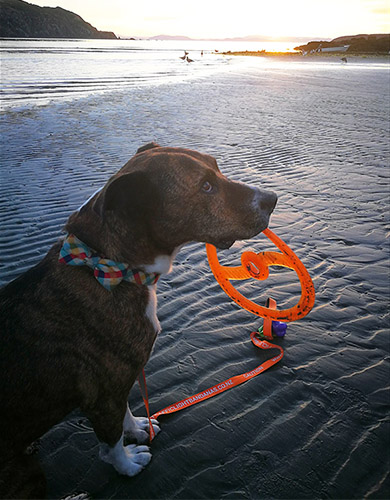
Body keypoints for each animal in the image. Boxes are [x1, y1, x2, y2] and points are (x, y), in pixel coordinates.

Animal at [0, 143, 278, 498]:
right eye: (205, 186)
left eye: (216, 168)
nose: (272, 198)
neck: (109, 265)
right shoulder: (103, 395)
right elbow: (111, 441)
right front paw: (128, 465)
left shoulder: (121, 382)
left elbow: (127, 413)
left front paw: (136, 427)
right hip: (27, 473)